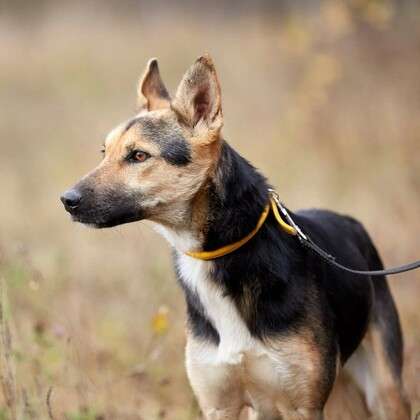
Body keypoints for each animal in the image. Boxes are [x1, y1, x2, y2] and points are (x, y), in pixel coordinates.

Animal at [61, 55, 410, 420]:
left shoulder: (303, 406)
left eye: (139, 156)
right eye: (104, 152)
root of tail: (350, 221)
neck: (222, 252)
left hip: (385, 391)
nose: (67, 200)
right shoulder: (219, 404)